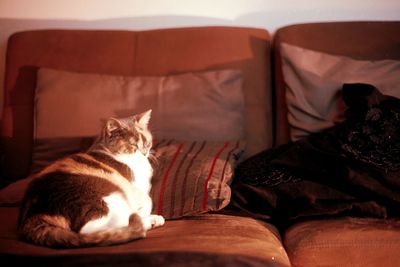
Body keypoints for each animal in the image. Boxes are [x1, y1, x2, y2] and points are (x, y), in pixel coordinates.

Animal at [17, 110, 164, 248]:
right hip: (109, 196)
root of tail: (32, 217)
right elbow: (148, 200)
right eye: (133, 145)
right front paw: (143, 211)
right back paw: (149, 220)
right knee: (90, 230)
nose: (144, 153)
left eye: (146, 143)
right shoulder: (134, 189)